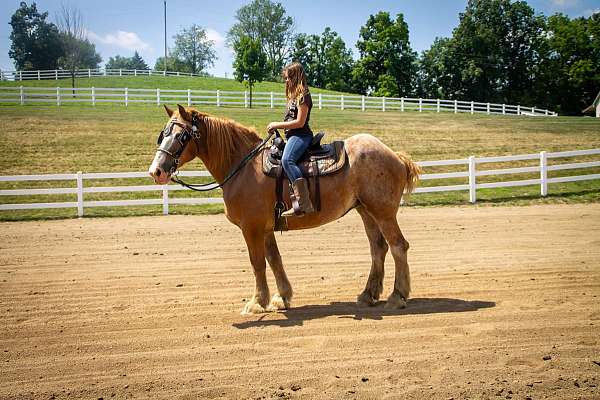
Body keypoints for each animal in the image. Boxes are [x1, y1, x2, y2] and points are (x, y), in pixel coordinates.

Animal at [149, 104, 422, 314]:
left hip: (383, 212)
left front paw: (257, 302)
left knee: (398, 246)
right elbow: (274, 260)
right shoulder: (265, 228)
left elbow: (257, 262)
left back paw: (397, 296)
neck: (244, 167)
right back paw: (368, 294)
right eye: (163, 134)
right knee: (378, 248)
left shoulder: (252, 228)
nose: (156, 171)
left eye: (182, 136)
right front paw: (281, 297)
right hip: (366, 211)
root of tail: (395, 156)